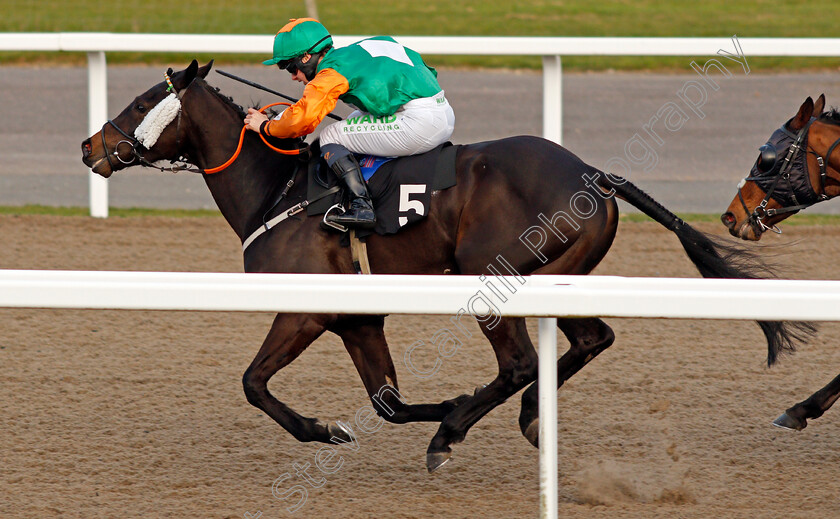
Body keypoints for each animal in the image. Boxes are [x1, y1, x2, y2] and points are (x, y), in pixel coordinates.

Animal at [82, 60, 812, 472]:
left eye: (141, 103)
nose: (90, 145)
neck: (277, 187)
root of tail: (594, 174)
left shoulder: (305, 310)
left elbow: (254, 384)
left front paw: (330, 429)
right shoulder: (357, 319)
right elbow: (390, 403)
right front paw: (429, 410)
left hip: (494, 275)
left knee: (519, 362)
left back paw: (463, 427)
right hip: (556, 275)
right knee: (590, 339)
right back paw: (526, 415)